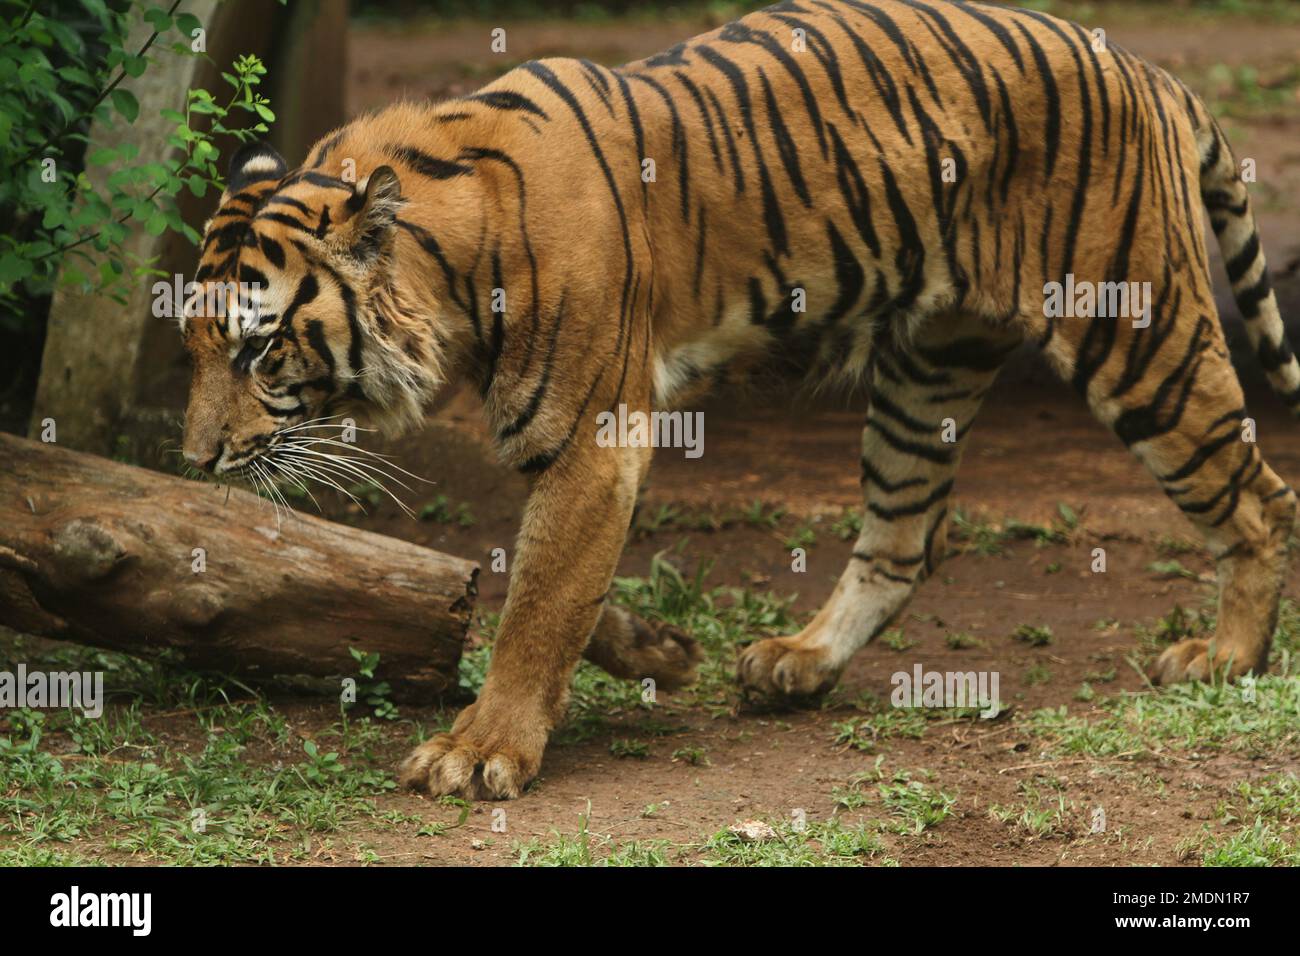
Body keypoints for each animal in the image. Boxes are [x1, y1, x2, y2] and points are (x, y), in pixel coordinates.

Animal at [180, 0, 1299, 800]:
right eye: (193, 344)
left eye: (260, 351)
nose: (192, 459)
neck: (451, 262)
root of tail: (1144, 68)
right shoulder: (568, 452)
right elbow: (551, 584)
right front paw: (661, 651)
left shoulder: (591, 435)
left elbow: (537, 602)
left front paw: (482, 749)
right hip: (928, 368)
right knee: (904, 539)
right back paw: (800, 662)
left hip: (1137, 331)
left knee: (1257, 496)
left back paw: (1226, 655)